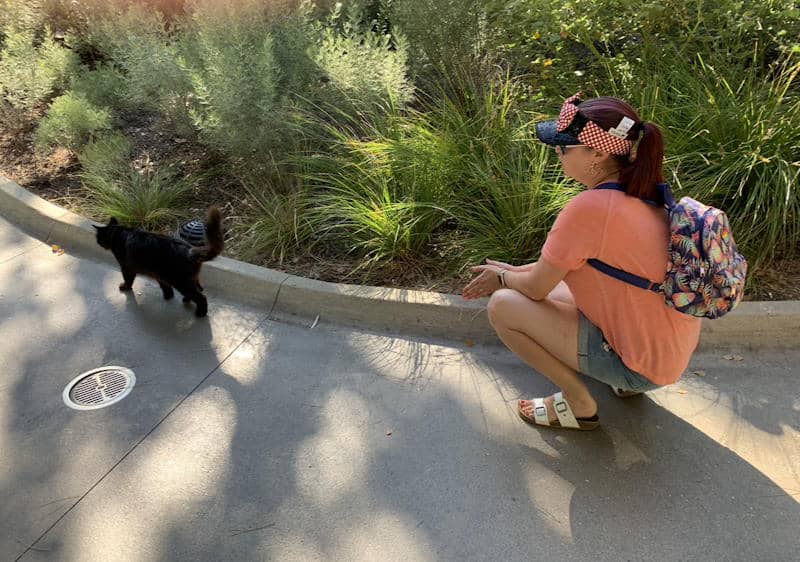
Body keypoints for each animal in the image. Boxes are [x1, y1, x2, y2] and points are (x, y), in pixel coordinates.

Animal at [95, 206, 223, 316]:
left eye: (98, 238)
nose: (98, 243)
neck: (118, 233)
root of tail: (190, 250)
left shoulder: (127, 268)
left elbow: (128, 280)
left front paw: (125, 287)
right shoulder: (158, 274)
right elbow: (164, 286)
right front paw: (168, 295)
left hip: (181, 282)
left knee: (201, 297)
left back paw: (200, 313)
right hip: (190, 279)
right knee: (200, 289)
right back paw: (187, 300)